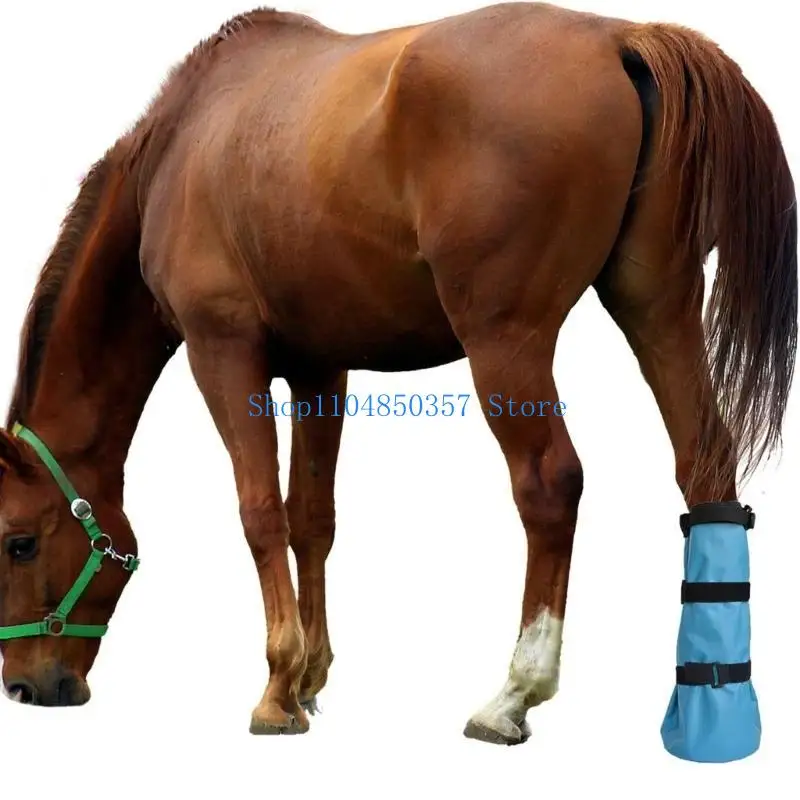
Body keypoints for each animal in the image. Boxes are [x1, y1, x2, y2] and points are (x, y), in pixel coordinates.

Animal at [0, 3, 795, 744]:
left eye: (19, 542)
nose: (28, 687)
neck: (178, 150)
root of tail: (619, 37)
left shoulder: (221, 351)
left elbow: (260, 513)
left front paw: (276, 688)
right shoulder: (320, 369)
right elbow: (310, 517)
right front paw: (309, 678)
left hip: (506, 342)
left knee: (550, 484)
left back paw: (514, 694)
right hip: (656, 309)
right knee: (704, 468)